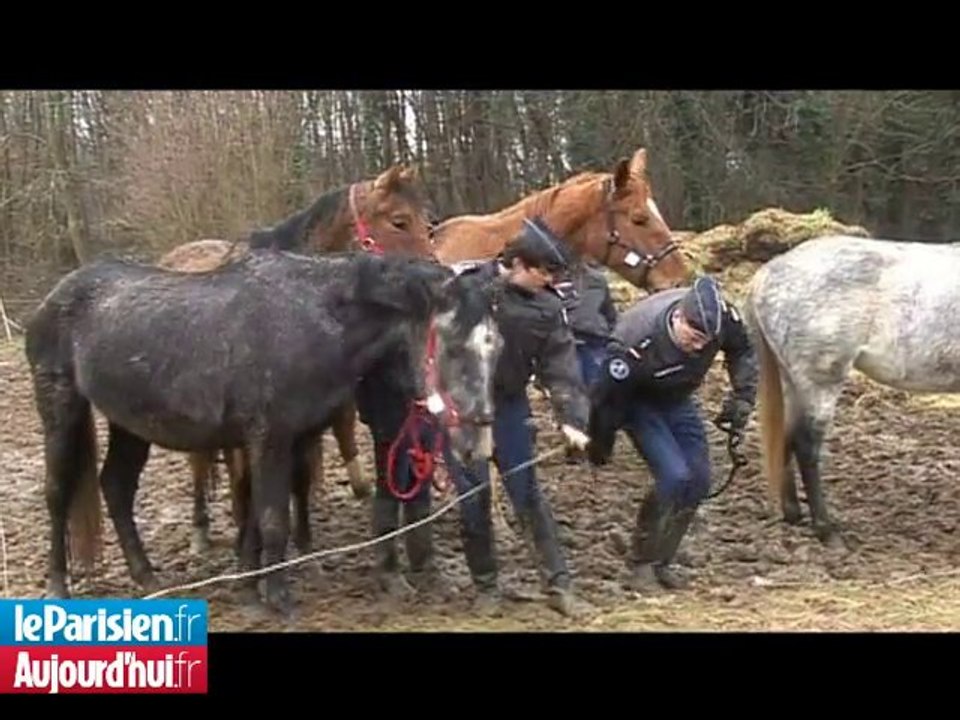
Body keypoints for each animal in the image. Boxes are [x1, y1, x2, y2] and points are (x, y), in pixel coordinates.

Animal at [24, 248, 501, 614]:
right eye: (453, 347)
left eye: (495, 347)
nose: (477, 442)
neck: (307, 319)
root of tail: (52, 298)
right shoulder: (269, 437)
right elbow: (273, 518)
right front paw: (277, 596)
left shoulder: (278, 440)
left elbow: (256, 513)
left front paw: (249, 587)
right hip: (61, 408)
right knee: (57, 494)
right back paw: (57, 586)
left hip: (130, 422)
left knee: (117, 487)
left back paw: (146, 577)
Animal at [156, 163, 435, 555]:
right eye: (399, 221)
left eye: (427, 222)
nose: (440, 276)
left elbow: (299, 474)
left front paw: (301, 539)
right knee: (201, 467)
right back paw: (200, 531)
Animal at [744, 233, 960, 549]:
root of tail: (769, 272)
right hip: (820, 382)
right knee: (806, 447)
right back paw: (826, 530)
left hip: (793, 381)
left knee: (787, 437)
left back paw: (793, 514)